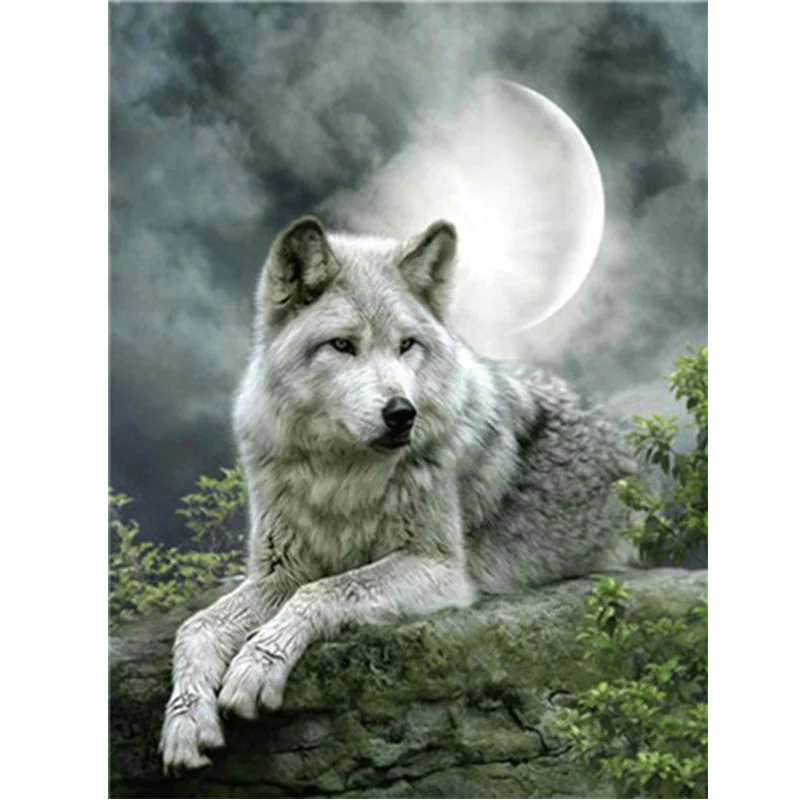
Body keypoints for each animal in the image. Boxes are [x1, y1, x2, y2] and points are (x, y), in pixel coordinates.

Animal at [160, 216, 639, 772]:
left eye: (407, 345)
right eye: (343, 345)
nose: (401, 413)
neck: (341, 475)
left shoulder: (439, 568)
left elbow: (324, 591)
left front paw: (257, 664)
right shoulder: (280, 571)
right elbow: (195, 626)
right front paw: (185, 722)